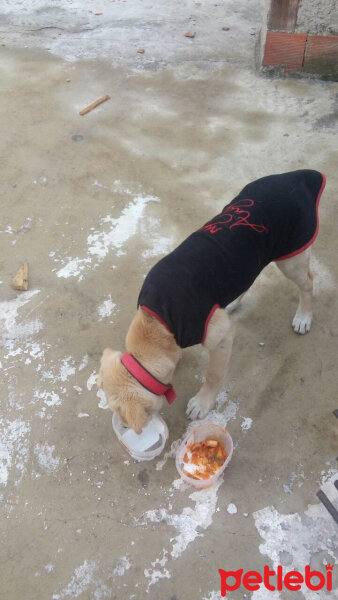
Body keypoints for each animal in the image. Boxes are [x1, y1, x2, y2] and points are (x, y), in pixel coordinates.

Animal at [97, 169, 324, 432]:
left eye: (124, 422)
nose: (125, 429)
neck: (157, 320)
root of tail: (296, 176)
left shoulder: (220, 338)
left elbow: (214, 375)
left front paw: (203, 402)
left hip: (291, 257)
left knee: (308, 283)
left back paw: (304, 316)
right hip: (249, 259)